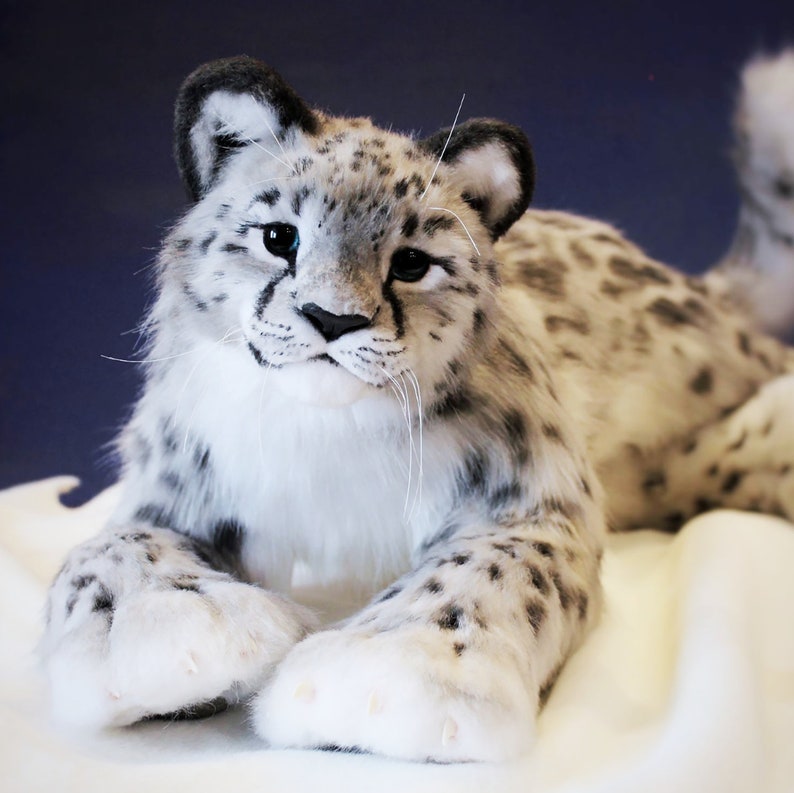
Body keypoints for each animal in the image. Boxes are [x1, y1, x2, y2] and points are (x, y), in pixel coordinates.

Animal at [41, 52, 794, 763]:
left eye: (411, 261)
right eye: (279, 236)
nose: (332, 318)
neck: (322, 445)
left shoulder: (531, 497)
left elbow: (488, 568)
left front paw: (384, 678)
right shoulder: (172, 483)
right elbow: (106, 548)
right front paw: (168, 632)